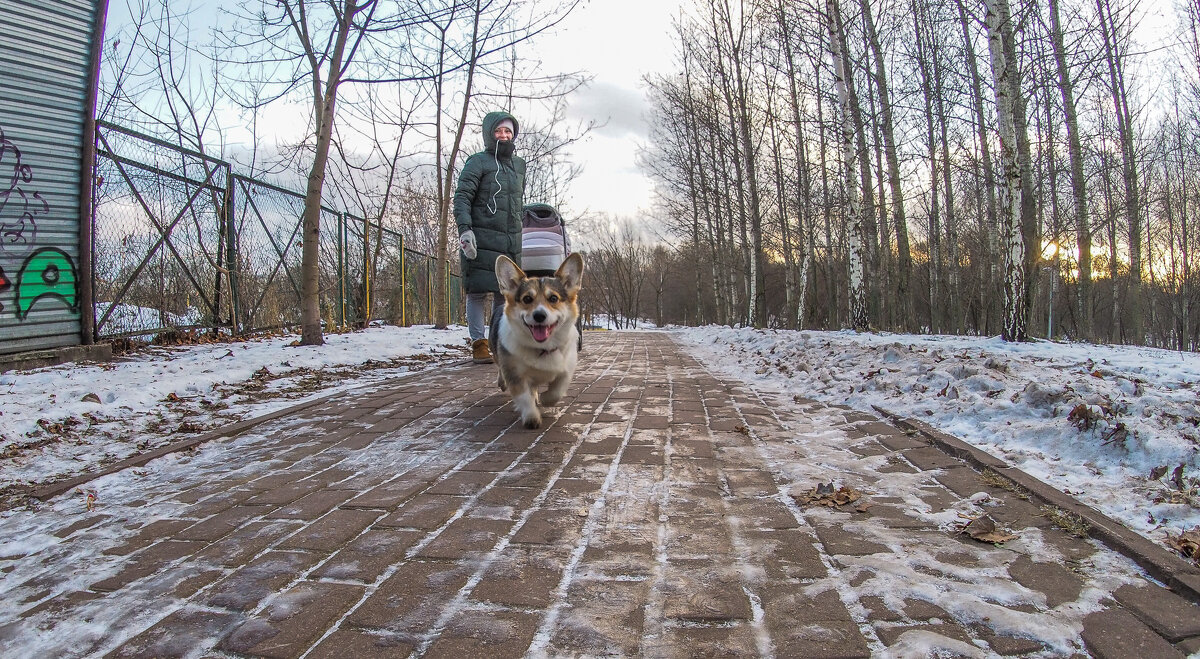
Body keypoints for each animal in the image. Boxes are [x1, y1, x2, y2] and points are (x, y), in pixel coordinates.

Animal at [487, 250, 580, 427]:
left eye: (553, 298)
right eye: (527, 299)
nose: (539, 316)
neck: (543, 347)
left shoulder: (566, 369)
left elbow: (557, 390)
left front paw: (545, 399)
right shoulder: (515, 374)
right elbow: (524, 397)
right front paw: (532, 417)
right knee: (500, 368)